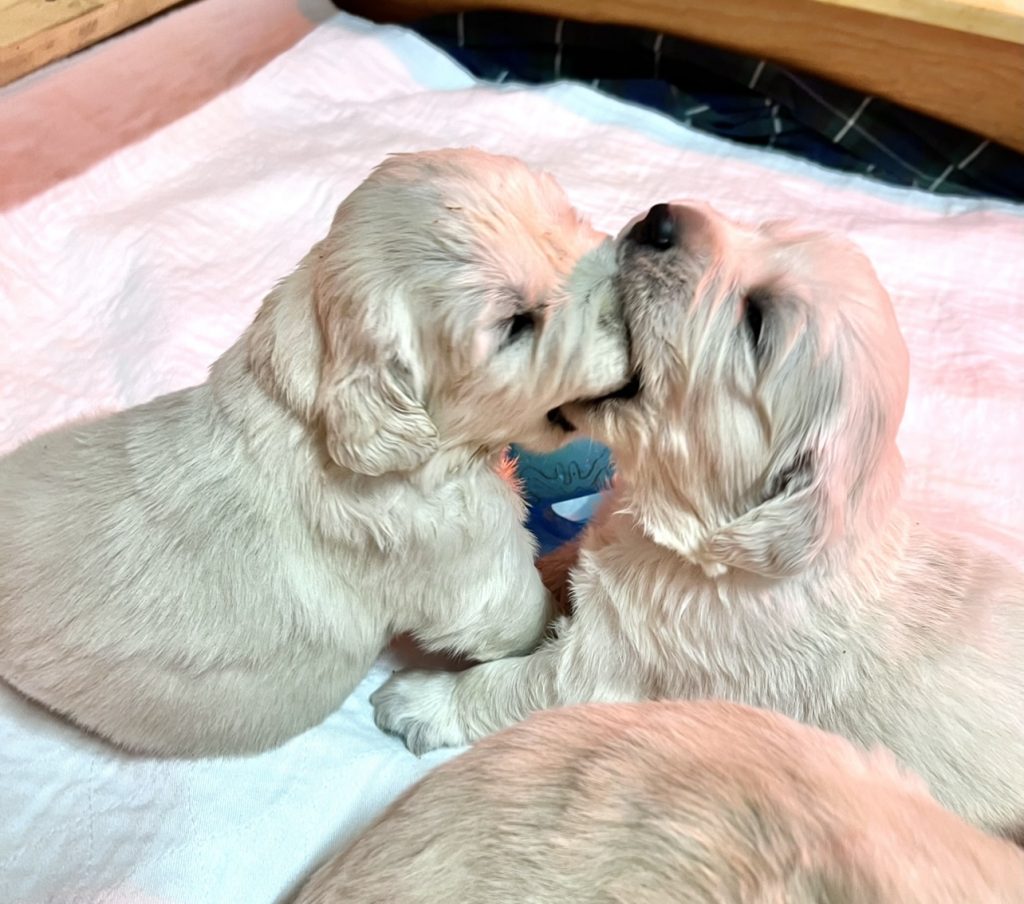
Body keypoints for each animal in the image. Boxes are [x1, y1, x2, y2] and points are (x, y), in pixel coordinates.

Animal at [372, 201, 1024, 839]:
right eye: (760, 228)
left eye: (757, 322)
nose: (659, 217)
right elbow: (562, 563)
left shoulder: (612, 671)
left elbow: (515, 684)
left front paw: (421, 700)